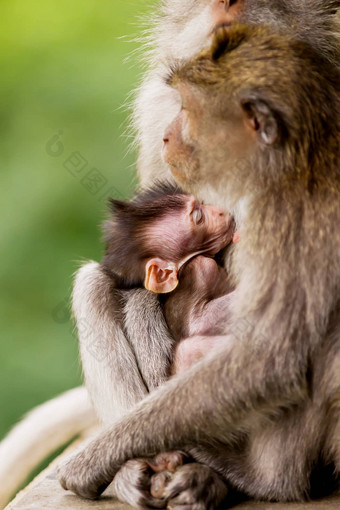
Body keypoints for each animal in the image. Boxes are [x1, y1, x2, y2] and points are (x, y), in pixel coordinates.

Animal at [59, 24, 340, 510]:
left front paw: (94, 458)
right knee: (93, 284)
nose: (168, 134)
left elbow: (269, 358)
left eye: (188, 109)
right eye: (196, 216)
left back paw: (249, 479)